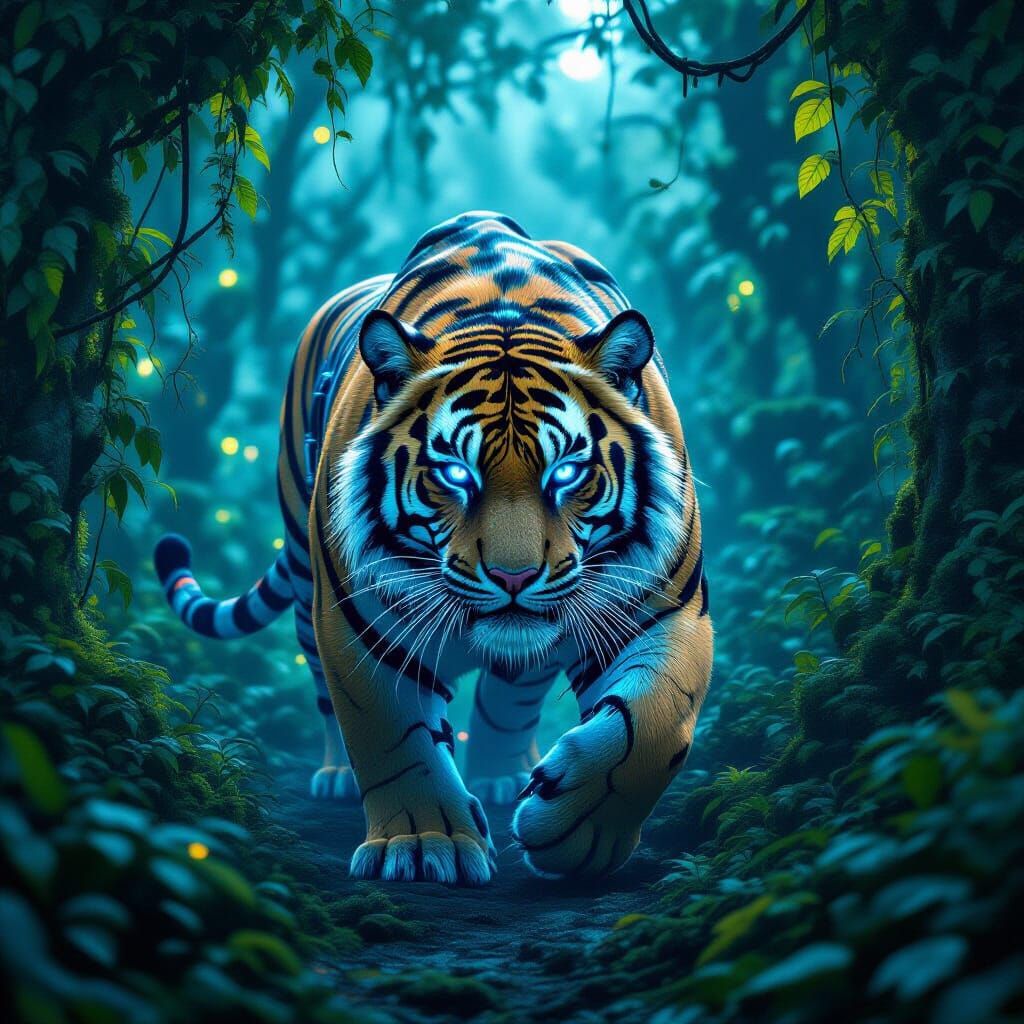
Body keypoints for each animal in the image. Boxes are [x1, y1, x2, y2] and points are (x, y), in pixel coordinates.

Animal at [154, 211, 712, 884]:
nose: (514, 578)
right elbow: (397, 739)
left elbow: (650, 728)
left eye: (566, 473)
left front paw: (576, 833)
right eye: (454, 474)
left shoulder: (665, 610)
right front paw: (424, 846)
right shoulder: (360, 623)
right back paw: (339, 776)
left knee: (513, 692)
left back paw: (505, 777)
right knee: (325, 688)